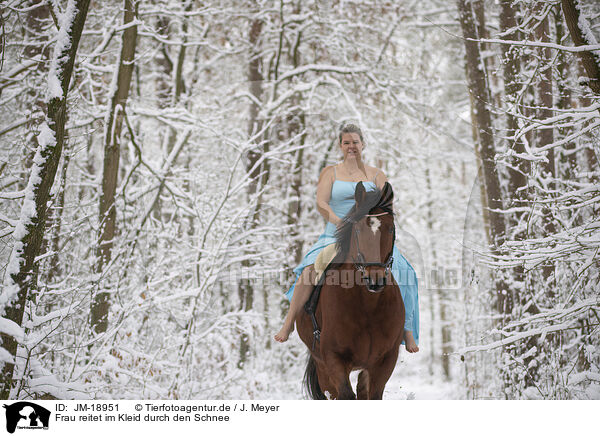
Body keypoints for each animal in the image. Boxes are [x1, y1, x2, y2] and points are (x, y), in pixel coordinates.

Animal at [294, 181, 404, 398]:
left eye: (390, 229)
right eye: (358, 230)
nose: (375, 280)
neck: (368, 306)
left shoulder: (385, 360)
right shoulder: (333, 358)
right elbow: (346, 395)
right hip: (322, 367)